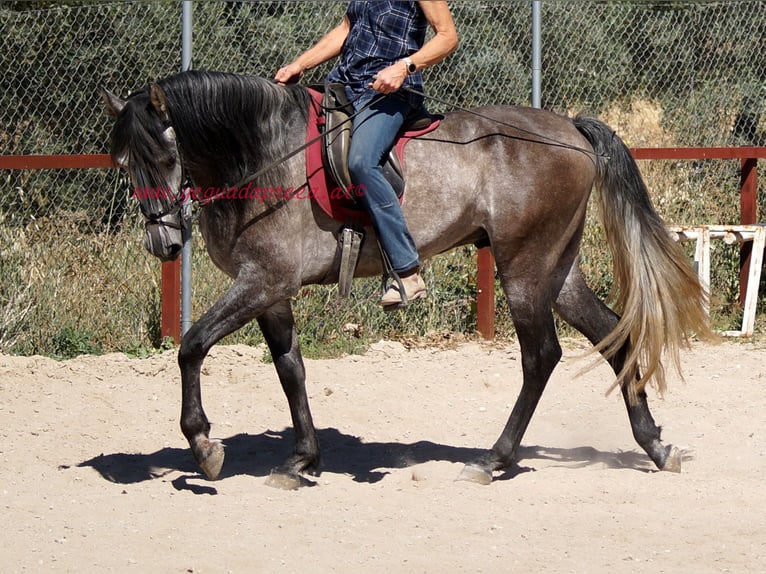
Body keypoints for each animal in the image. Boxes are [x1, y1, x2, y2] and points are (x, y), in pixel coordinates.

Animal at [100, 70, 712, 488]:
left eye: (165, 157)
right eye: (125, 163)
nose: (163, 244)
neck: (264, 156)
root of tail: (569, 130)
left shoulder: (262, 282)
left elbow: (191, 345)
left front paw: (203, 446)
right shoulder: (271, 292)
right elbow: (290, 370)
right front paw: (300, 459)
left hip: (524, 269)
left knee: (542, 356)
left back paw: (493, 459)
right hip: (556, 271)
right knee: (615, 337)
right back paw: (655, 446)